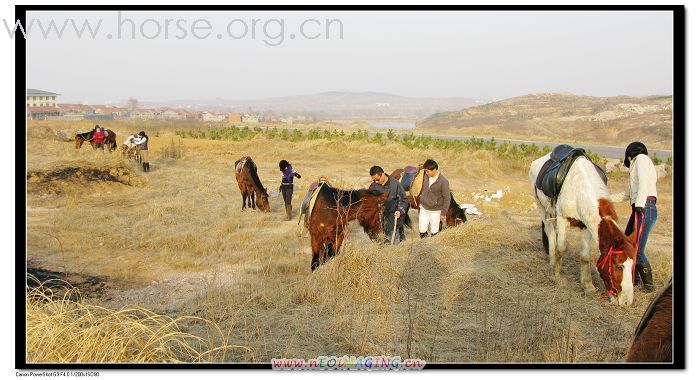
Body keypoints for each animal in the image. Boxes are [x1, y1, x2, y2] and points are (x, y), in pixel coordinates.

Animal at [532, 151, 640, 306]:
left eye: (633, 266)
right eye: (619, 266)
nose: (627, 302)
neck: (580, 190)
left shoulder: (587, 226)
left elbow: (585, 256)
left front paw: (588, 286)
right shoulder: (562, 219)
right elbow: (561, 249)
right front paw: (557, 277)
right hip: (541, 207)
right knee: (550, 232)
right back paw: (552, 262)